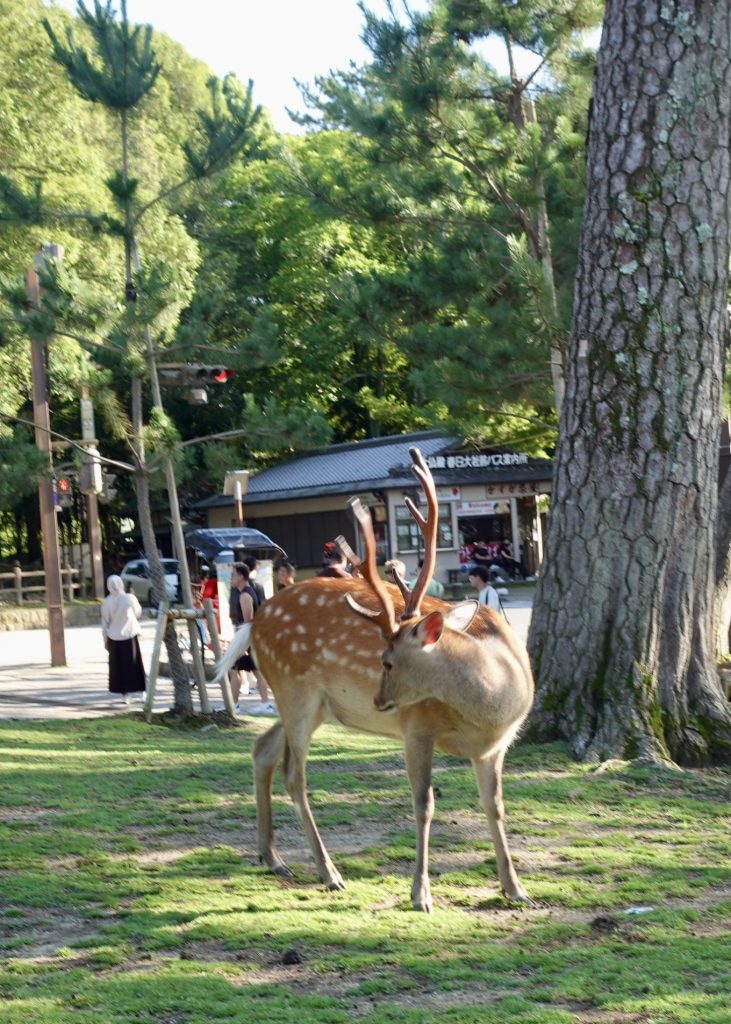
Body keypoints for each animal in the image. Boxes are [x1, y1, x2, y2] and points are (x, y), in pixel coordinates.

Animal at [214, 447, 534, 912]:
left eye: (387, 662)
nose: (380, 701)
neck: (493, 709)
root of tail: (255, 622)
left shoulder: (495, 747)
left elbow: (495, 806)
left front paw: (514, 887)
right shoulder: (417, 727)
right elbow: (424, 804)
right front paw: (420, 893)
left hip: (311, 704)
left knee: (262, 749)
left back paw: (272, 858)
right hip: (295, 689)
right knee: (294, 774)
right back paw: (329, 873)